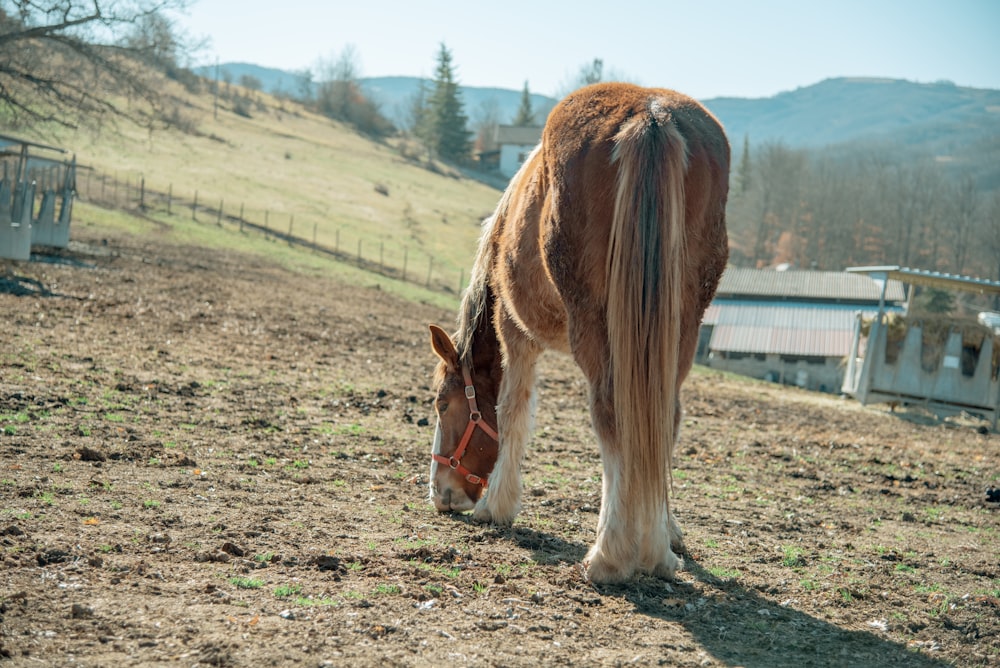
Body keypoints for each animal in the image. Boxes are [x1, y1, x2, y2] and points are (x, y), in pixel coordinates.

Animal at [428, 83, 728, 580]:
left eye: (442, 404)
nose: (440, 493)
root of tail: (649, 115)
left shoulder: (515, 332)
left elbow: (513, 412)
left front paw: (497, 506)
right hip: (680, 327)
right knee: (663, 416)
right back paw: (658, 549)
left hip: (597, 326)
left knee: (612, 414)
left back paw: (612, 554)